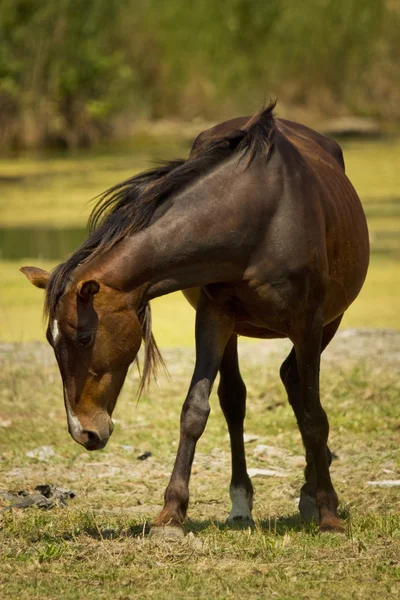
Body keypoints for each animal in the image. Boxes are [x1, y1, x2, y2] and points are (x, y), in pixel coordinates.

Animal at [19, 101, 368, 536]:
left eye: (83, 336)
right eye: (52, 342)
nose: (83, 432)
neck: (258, 214)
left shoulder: (309, 322)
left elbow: (314, 415)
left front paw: (329, 514)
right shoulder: (214, 318)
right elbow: (194, 411)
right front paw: (171, 513)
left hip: (328, 324)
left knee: (296, 389)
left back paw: (309, 492)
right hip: (237, 330)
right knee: (238, 398)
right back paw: (242, 503)